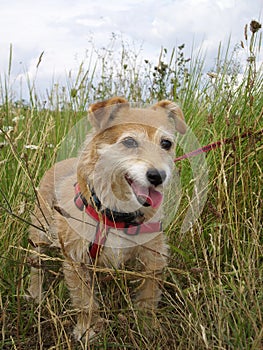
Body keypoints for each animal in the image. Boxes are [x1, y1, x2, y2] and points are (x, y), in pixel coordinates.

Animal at [27, 96, 187, 342]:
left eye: (166, 143)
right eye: (129, 141)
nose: (158, 176)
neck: (116, 214)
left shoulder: (153, 257)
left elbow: (149, 296)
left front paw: (147, 327)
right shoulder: (77, 261)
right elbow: (85, 302)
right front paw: (87, 330)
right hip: (39, 235)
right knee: (36, 265)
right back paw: (35, 292)